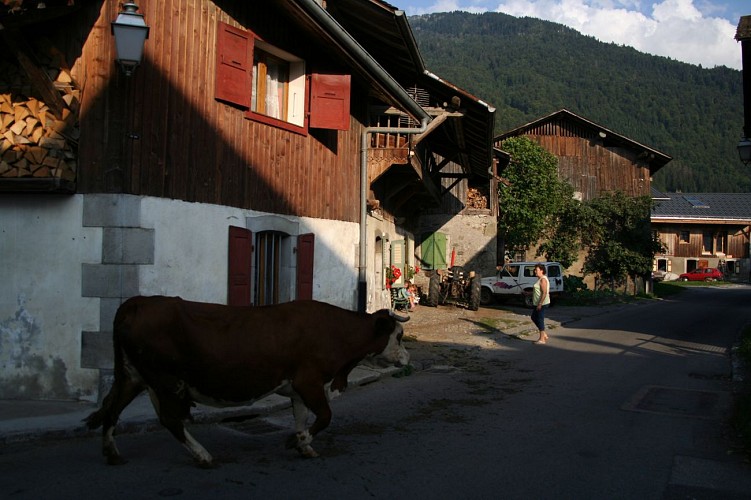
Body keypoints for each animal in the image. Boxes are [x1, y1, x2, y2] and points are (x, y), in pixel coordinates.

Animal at [84, 294, 408, 466]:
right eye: (399, 335)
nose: (407, 358)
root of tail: (138, 301)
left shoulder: (298, 387)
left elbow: (302, 417)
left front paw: (303, 445)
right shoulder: (310, 380)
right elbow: (325, 416)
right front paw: (297, 441)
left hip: (134, 376)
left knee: (112, 411)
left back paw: (112, 453)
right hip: (165, 380)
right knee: (170, 420)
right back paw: (203, 456)